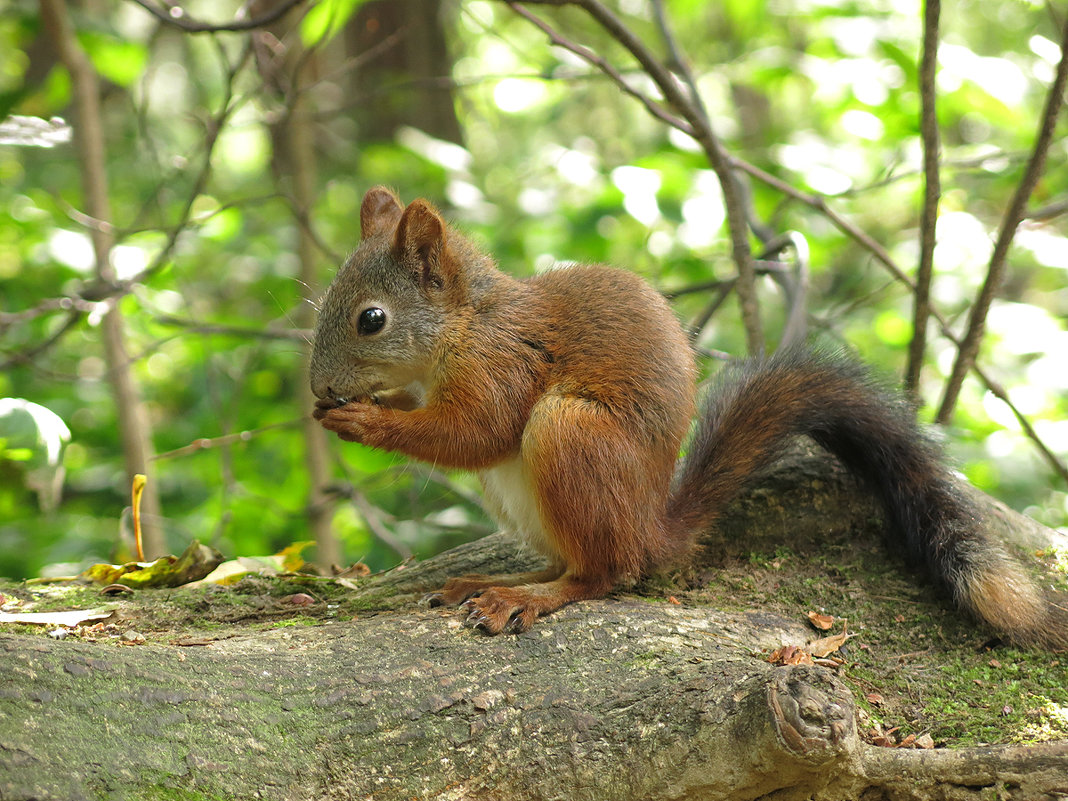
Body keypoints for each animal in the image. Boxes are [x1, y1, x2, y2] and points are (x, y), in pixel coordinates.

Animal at [311, 186, 1068, 645]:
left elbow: (476, 431)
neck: (468, 322)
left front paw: (365, 422)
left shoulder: (505, 363)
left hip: (570, 434)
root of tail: (652, 530)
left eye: (372, 319)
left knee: (602, 573)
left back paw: (529, 596)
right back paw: (494, 581)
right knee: (573, 559)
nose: (320, 387)